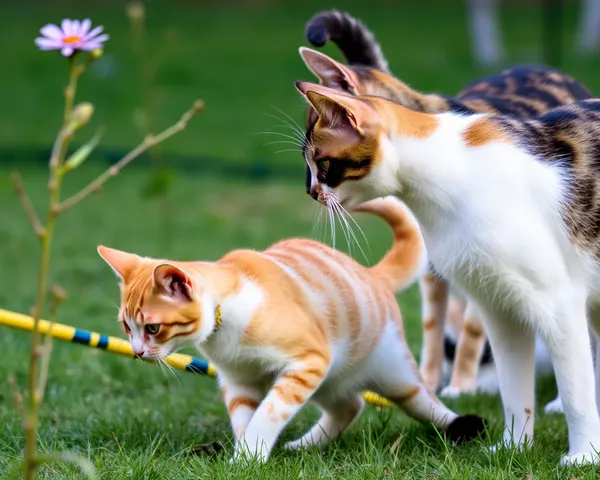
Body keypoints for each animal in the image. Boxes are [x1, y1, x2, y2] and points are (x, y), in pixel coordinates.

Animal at [96, 197, 486, 464]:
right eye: (126, 327)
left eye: (153, 328)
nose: (137, 352)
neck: (226, 318)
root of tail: (372, 274)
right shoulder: (239, 380)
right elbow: (245, 417)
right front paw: (246, 457)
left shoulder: (306, 361)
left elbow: (269, 413)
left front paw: (250, 456)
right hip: (329, 380)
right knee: (350, 405)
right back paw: (304, 446)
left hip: (389, 373)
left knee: (423, 402)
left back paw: (461, 426)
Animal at [292, 79, 600, 464]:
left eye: (323, 163)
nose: (311, 192)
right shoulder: (500, 307)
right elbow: (514, 388)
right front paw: (513, 448)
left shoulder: (557, 304)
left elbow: (576, 393)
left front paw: (584, 456)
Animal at [298, 9, 592, 398]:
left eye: (320, 159)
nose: (308, 188)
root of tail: (547, 67)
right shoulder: (432, 263)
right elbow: (432, 324)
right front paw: (429, 378)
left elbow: (473, 328)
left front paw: (462, 385)